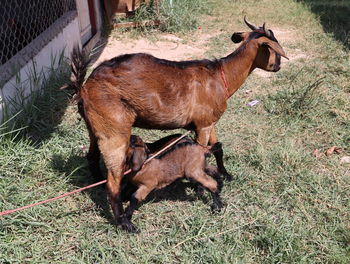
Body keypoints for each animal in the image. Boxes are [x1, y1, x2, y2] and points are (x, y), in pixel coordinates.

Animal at [62, 17, 288, 231]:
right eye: (273, 47)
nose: (278, 66)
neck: (220, 76)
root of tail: (84, 87)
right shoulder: (203, 125)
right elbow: (203, 151)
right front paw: (200, 187)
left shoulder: (209, 122)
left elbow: (218, 148)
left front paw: (226, 174)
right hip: (115, 132)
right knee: (113, 181)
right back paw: (124, 222)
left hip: (96, 127)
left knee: (92, 157)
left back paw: (97, 186)